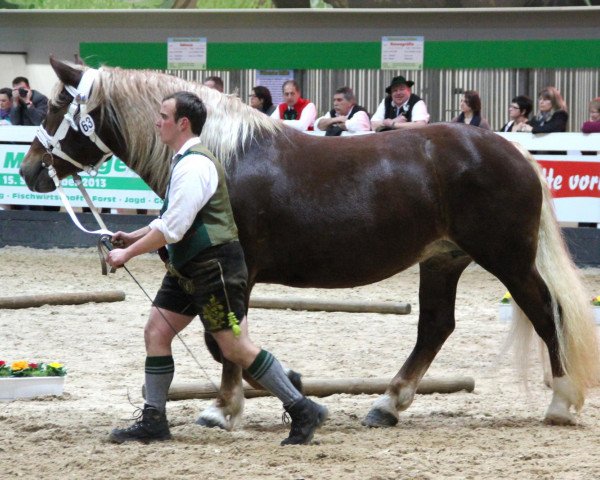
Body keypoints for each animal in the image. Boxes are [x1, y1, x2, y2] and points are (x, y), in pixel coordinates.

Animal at [19, 58, 600, 430]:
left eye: (56, 106)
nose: (28, 170)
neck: (223, 157)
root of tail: (514, 152)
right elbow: (218, 339)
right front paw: (278, 389)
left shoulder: (238, 272)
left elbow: (224, 339)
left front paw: (223, 409)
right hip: (443, 261)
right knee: (436, 327)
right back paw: (387, 405)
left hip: (507, 259)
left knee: (545, 313)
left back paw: (560, 402)